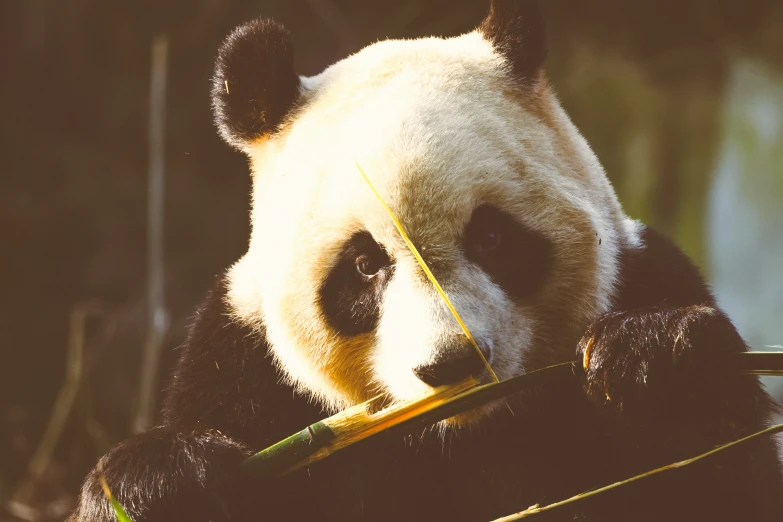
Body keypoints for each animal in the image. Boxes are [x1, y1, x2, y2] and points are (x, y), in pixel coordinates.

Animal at [69, 1, 783, 520]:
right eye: (365, 265)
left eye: (490, 237)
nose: (453, 364)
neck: (461, 432)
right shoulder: (244, 368)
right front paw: (164, 482)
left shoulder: (642, 274)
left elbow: (728, 477)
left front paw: (653, 363)